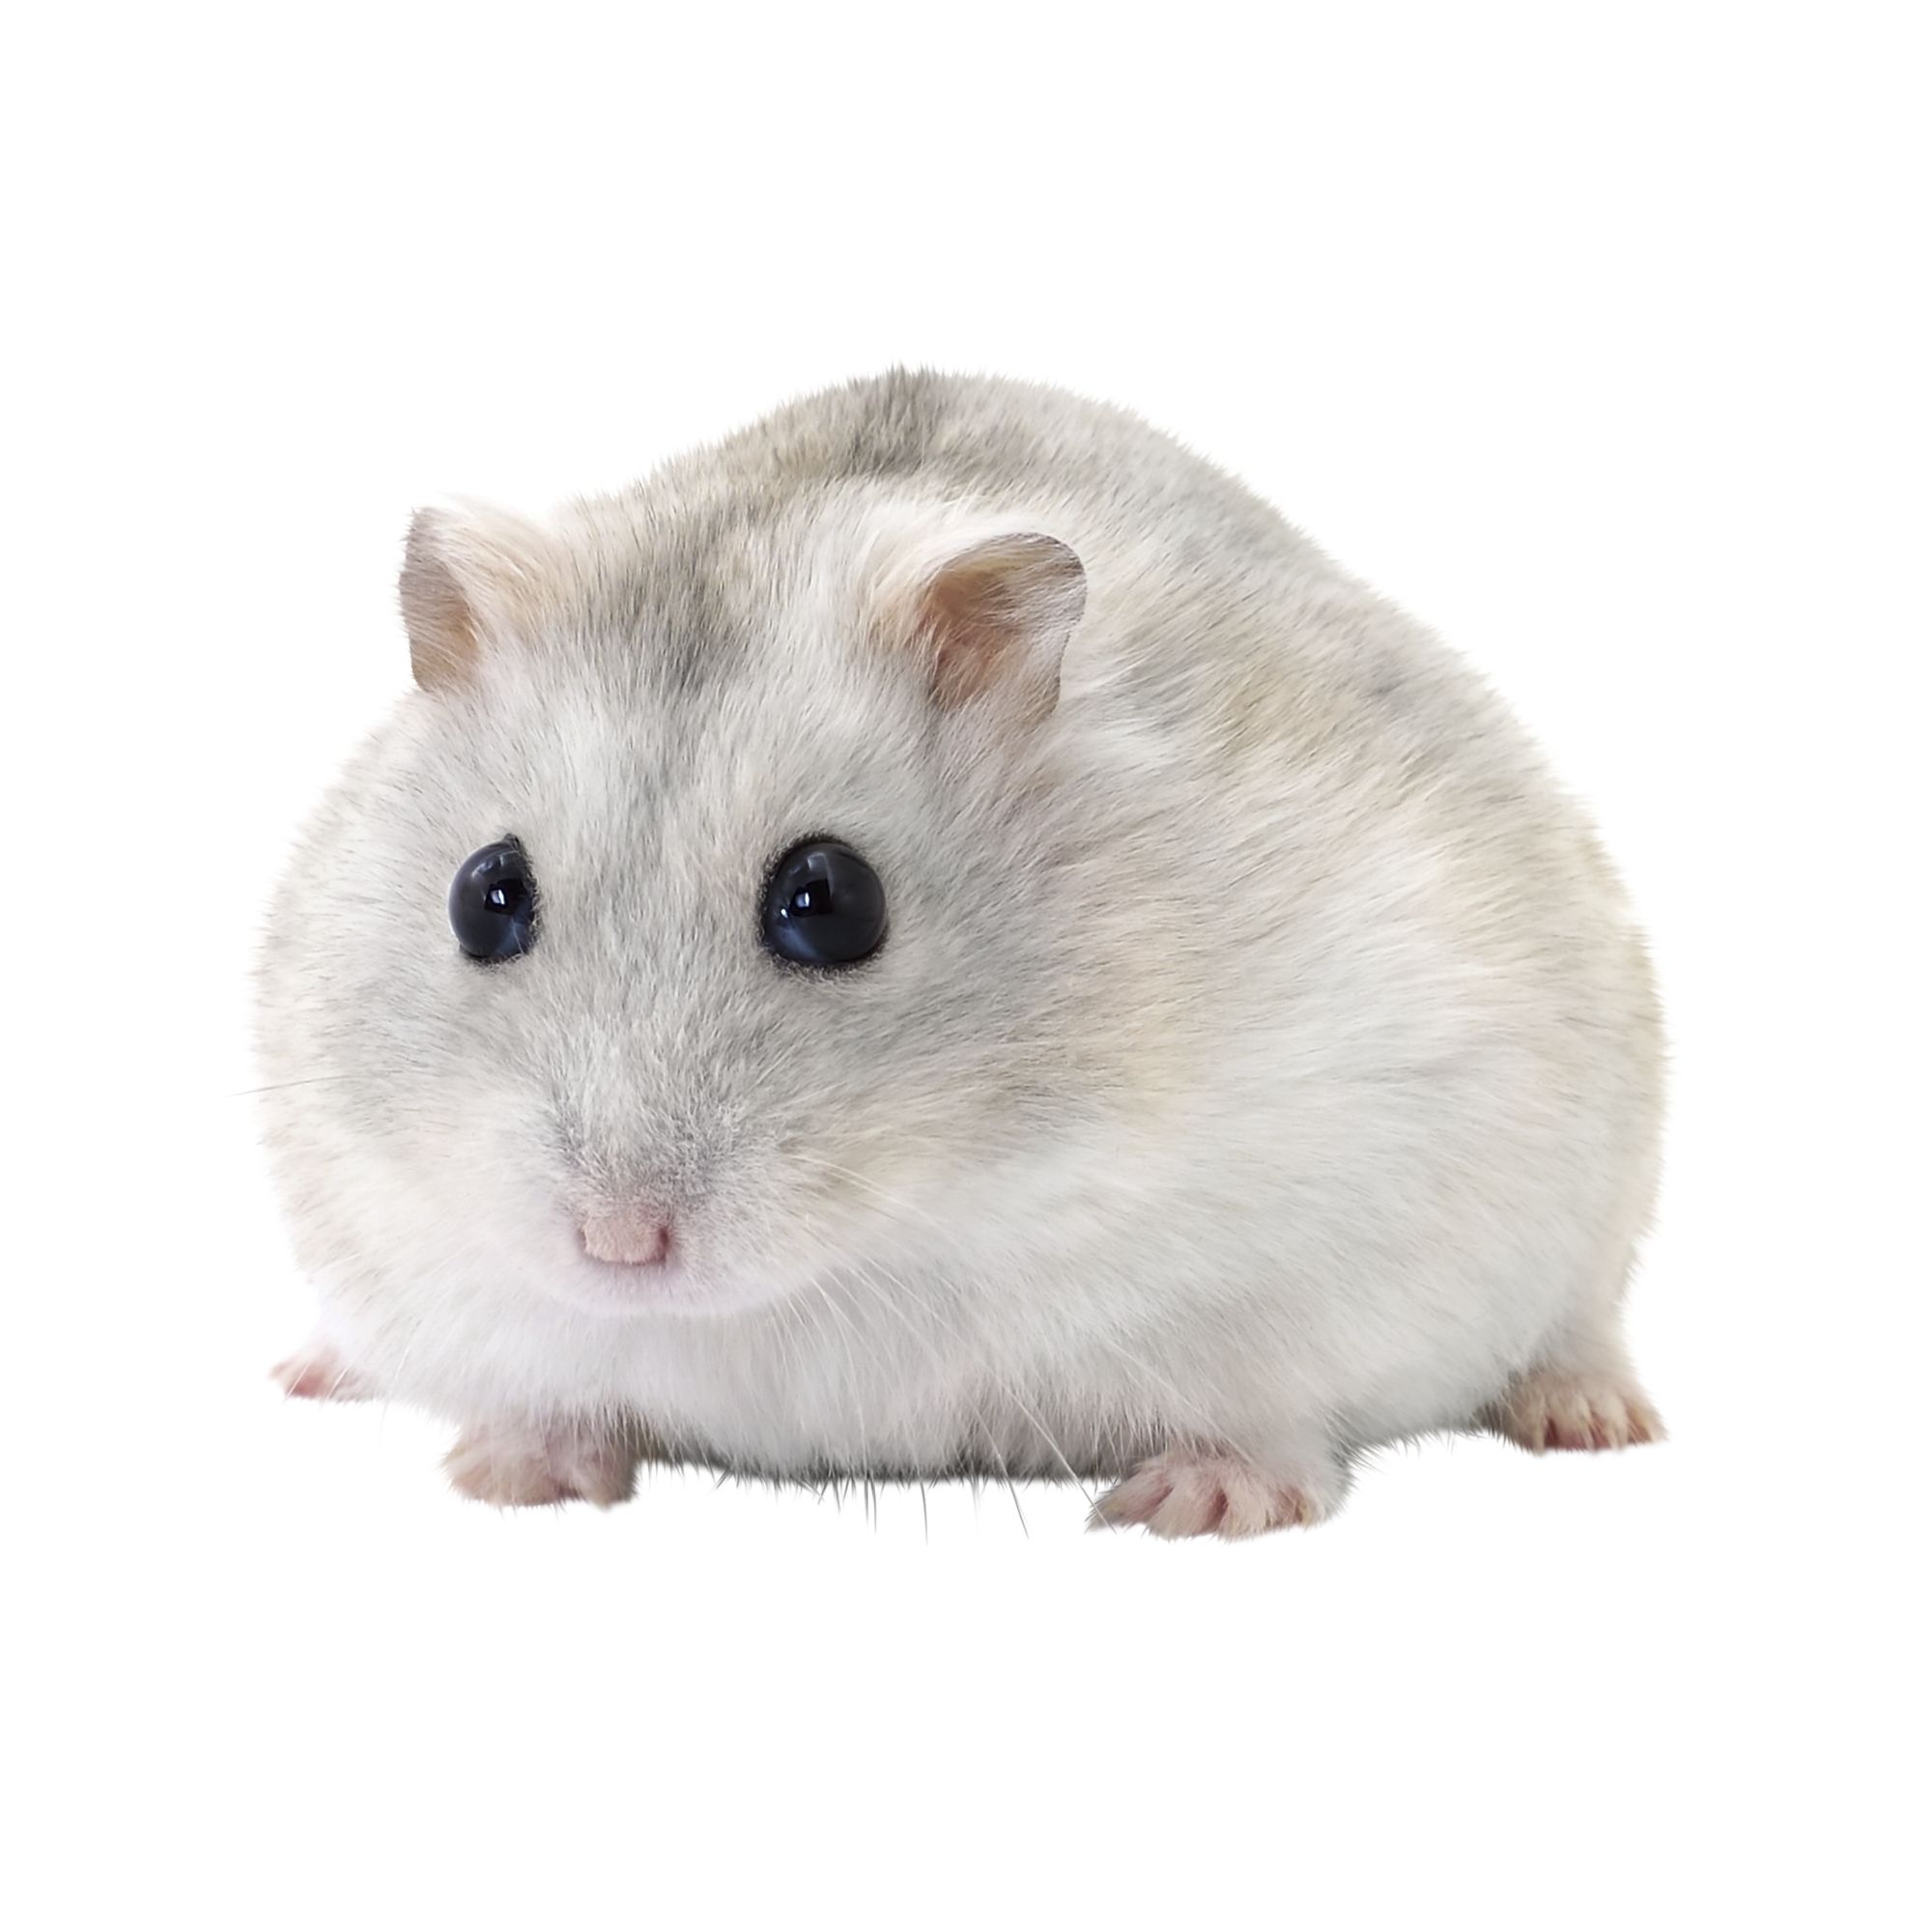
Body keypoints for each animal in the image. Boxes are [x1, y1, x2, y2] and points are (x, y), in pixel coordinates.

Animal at [258, 369, 1664, 1536]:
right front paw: (509, 1475)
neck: (916, 1214)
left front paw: (1195, 1507)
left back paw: (1593, 1418)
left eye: (830, 900)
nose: (616, 1244)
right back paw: (309, 1367)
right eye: (484, 896)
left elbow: (1269, 1411)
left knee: (1579, 1326)